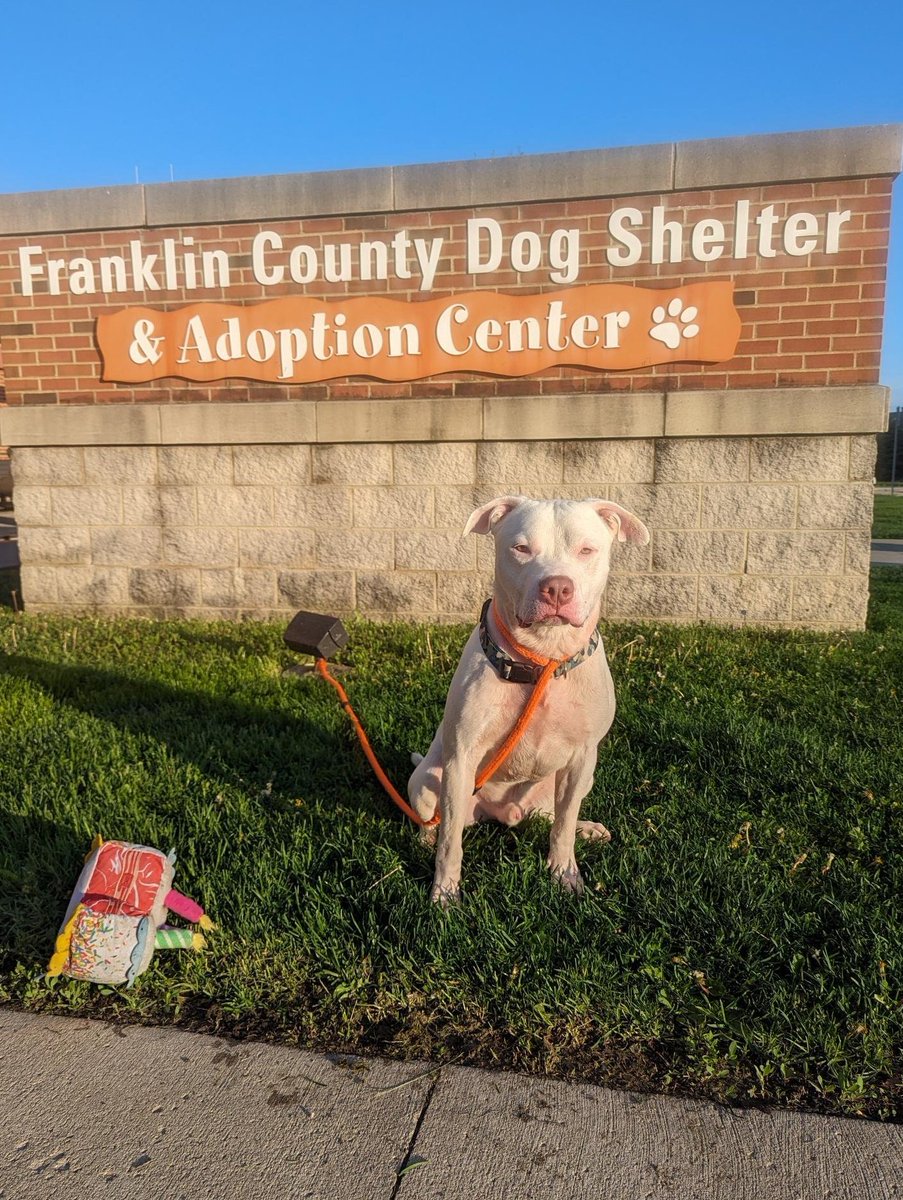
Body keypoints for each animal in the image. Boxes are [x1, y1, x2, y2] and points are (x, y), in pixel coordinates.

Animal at [408, 492, 648, 902]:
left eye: (587, 550)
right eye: (521, 548)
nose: (557, 587)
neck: (542, 658)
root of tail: (503, 814)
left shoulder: (583, 756)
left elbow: (563, 828)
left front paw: (564, 873)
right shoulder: (462, 758)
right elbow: (450, 841)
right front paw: (445, 893)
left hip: (580, 779)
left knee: (556, 816)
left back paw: (586, 828)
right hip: (426, 778)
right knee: (436, 821)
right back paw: (425, 839)